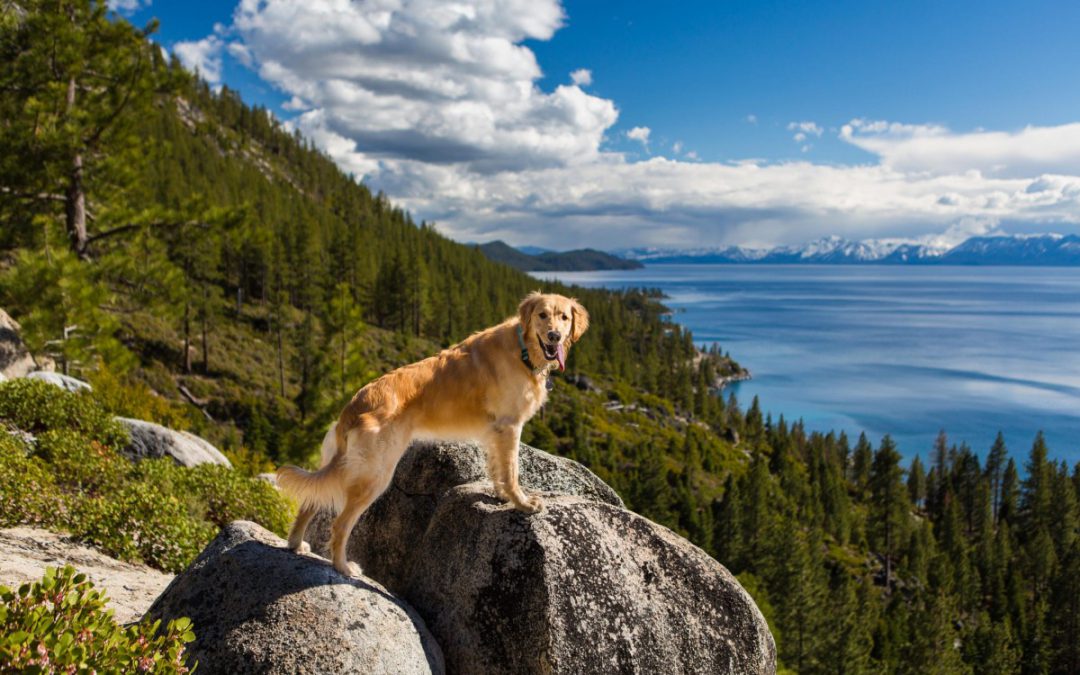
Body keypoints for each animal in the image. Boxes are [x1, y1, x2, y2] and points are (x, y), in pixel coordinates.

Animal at [274, 289, 587, 574]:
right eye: (542, 315)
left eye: (564, 317)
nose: (554, 336)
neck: (522, 348)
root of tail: (353, 407)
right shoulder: (510, 426)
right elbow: (511, 471)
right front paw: (521, 503)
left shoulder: (495, 432)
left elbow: (498, 469)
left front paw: (501, 496)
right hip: (376, 475)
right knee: (340, 524)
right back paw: (343, 567)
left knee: (310, 502)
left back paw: (296, 544)